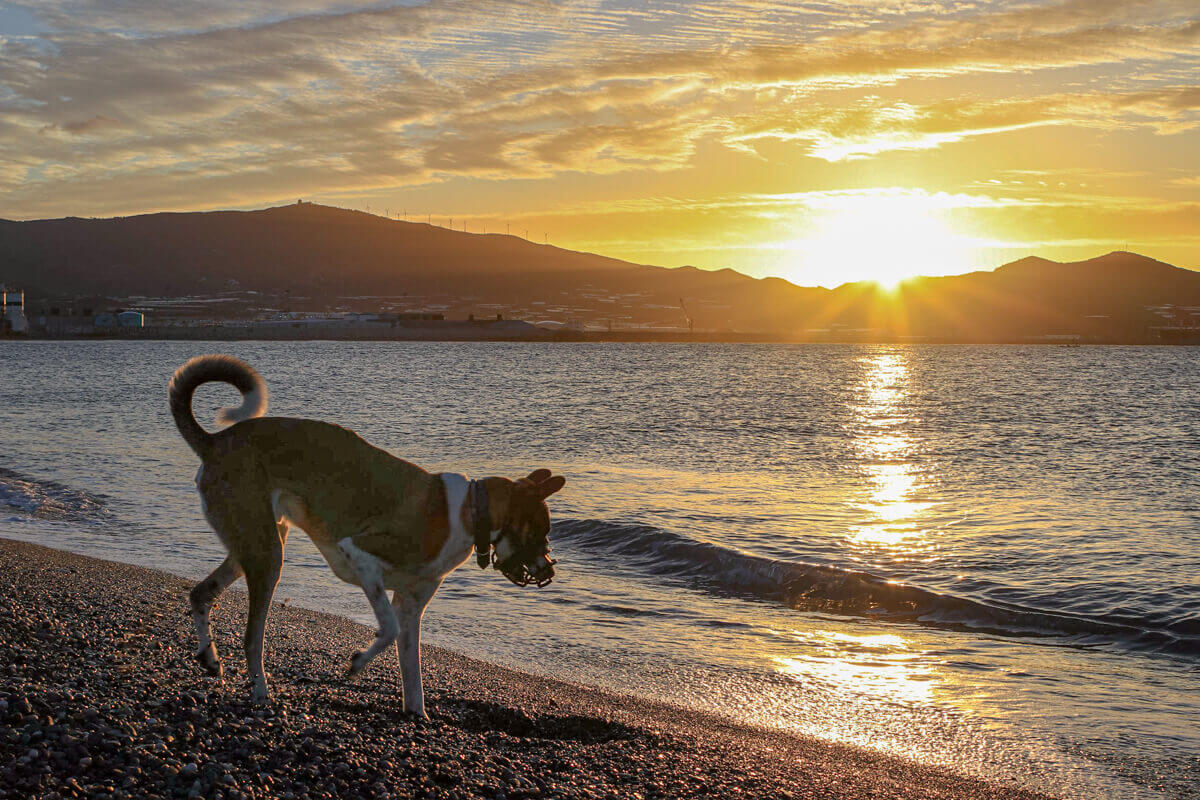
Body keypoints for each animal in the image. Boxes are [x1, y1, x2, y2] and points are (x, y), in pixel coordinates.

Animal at [166, 352, 564, 714]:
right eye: (539, 532)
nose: (549, 571)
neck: (470, 510)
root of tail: (216, 441)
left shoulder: (410, 605)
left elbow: (412, 670)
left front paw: (416, 715)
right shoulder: (361, 556)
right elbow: (387, 629)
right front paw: (357, 663)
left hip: (255, 544)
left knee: (201, 594)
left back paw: (209, 657)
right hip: (268, 557)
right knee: (251, 637)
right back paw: (261, 694)